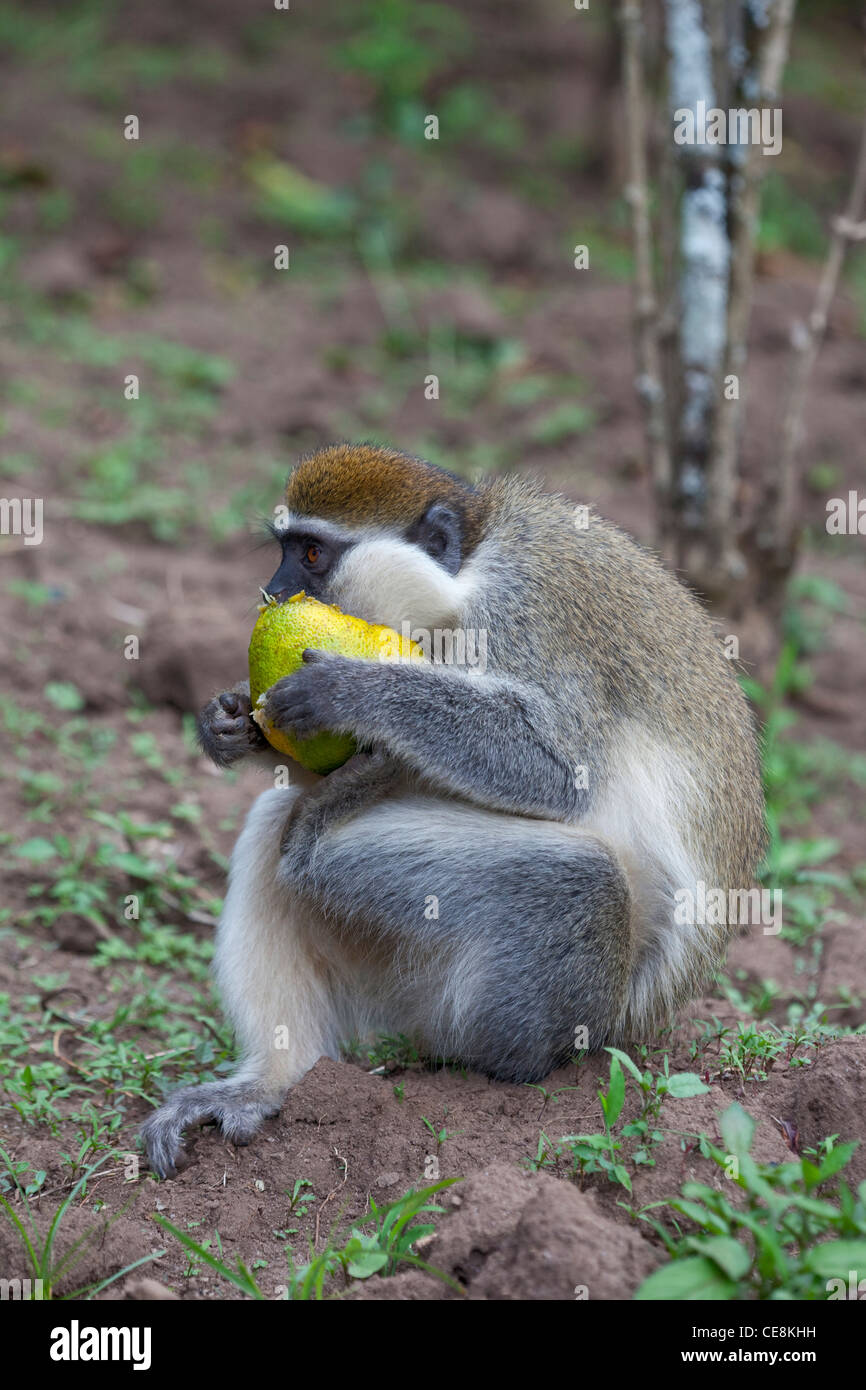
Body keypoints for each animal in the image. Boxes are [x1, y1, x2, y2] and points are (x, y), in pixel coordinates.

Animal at [141, 443, 766, 1177]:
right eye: (284, 550)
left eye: (313, 555)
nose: (270, 591)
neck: (462, 580)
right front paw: (230, 722)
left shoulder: (523, 609)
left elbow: (561, 771)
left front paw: (353, 691)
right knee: (275, 826)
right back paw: (272, 1081)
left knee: (580, 882)